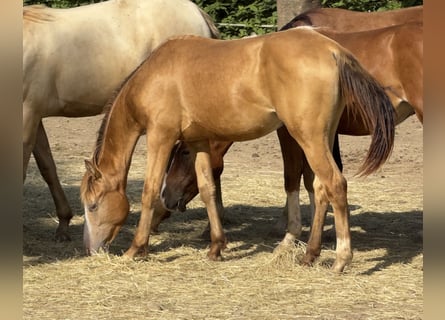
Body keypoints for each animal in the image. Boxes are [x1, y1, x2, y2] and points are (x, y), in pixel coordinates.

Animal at [79, 28, 392, 272]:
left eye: (92, 205)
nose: (90, 249)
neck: (154, 74)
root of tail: (332, 50)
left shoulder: (160, 137)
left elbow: (149, 190)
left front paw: (136, 248)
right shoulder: (198, 142)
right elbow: (208, 190)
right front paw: (216, 247)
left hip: (309, 138)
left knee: (335, 184)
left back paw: (341, 259)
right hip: (319, 138)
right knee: (320, 188)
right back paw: (309, 254)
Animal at [161, 22, 422, 248]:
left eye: (183, 152)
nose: (166, 197)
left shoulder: (288, 133)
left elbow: (293, 177)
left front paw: (292, 234)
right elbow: (311, 179)